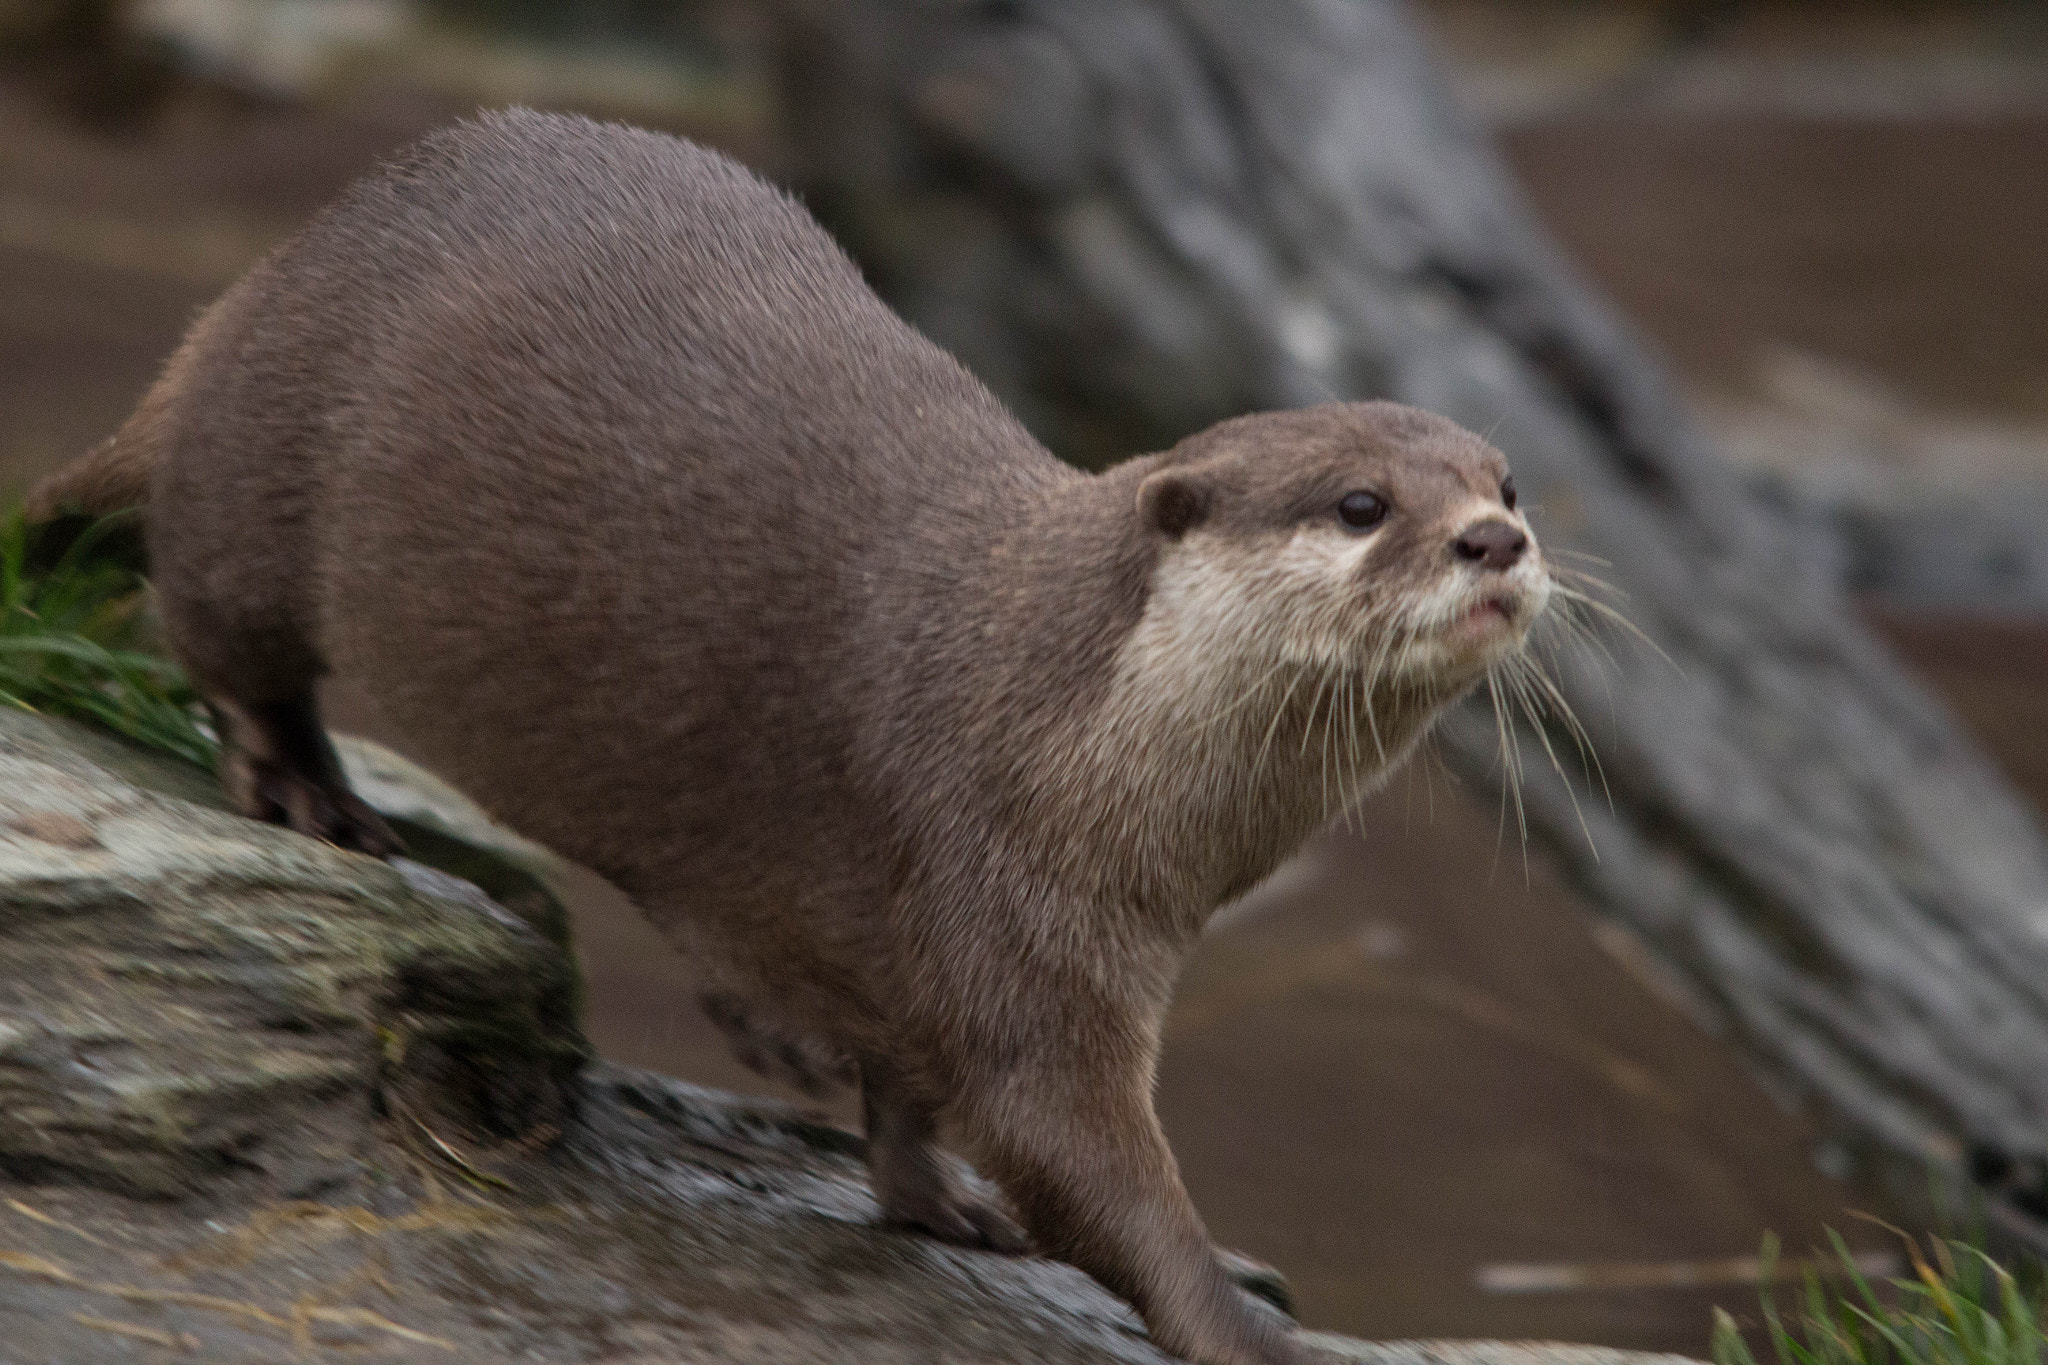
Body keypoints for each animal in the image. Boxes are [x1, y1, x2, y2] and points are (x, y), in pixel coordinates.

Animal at [30, 110, 1550, 1365]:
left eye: (1506, 478)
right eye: (1359, 504)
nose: (1495, 538)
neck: (1061, 718)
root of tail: (256, 294)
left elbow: (916, 1094)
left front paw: (930, 1198)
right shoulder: (1003, 895)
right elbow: (1076, 1161)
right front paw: (1247, 1330)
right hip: (268, 473)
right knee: (214, 620)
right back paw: (306, 789)